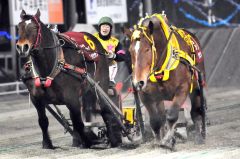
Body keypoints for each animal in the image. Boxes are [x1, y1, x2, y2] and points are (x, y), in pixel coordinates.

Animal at [124, 13, 206, 149]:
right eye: (130, 51)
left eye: (147, 49)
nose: (138, 82)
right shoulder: (145, 95)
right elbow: (156, 120)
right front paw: (160, 141)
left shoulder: (182, 89)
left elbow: (172, 115)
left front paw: (168, 139)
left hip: (195, 86)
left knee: (195, 111)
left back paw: (199, 136)